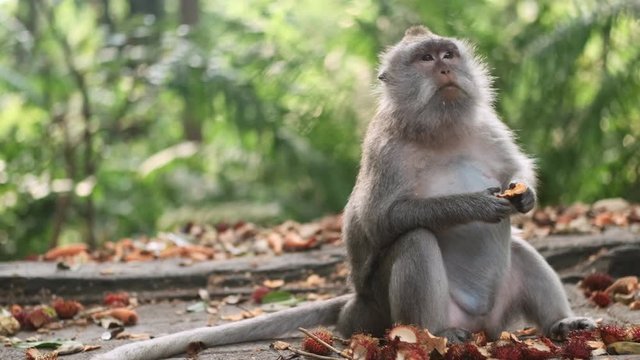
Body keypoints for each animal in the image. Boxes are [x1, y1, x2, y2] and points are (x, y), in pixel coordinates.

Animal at [92, 26, 596, 360]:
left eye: (448, 52)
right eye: (425, 59)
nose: (446, 65)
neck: (442, 130)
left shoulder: (488, 127)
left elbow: (516, 172)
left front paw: (525, 196)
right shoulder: (385, 150)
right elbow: (380, 220)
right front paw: (473, 204)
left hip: (494, 320)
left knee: (522, 249)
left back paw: (560, 324)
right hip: (385, 312)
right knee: (416, 242)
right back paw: (434, 334)